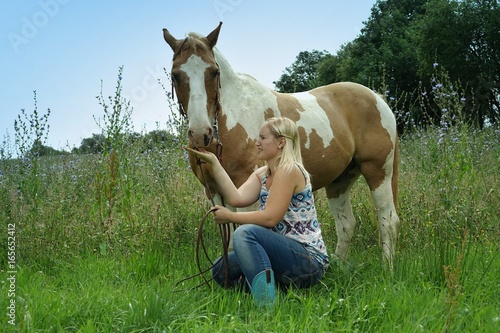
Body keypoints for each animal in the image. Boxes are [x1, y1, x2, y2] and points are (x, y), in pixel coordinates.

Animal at [162, 22, 400, 266]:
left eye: (214, 72)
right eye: (176, 75)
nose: (201, 133)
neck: (232, 118)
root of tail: (378, 98)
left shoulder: (244, 187)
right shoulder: (214, 192)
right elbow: (228, 241)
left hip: (378, 171)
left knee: (388, 219)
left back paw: (387, 268)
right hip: (340, 180)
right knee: (346, 224)